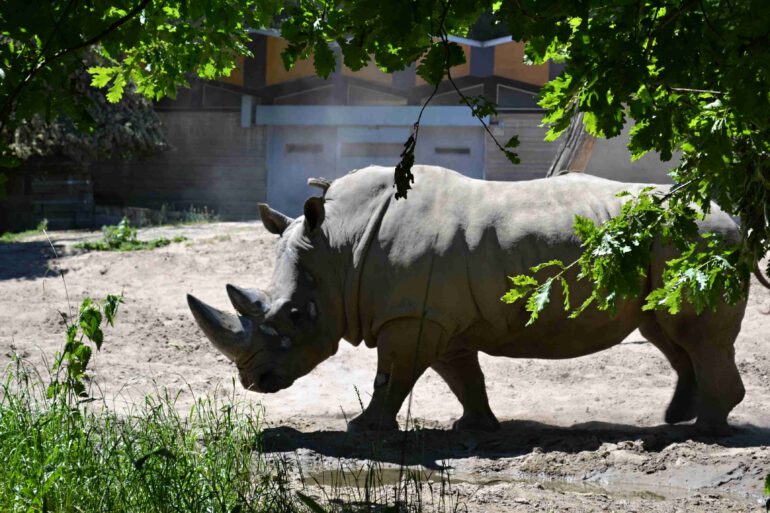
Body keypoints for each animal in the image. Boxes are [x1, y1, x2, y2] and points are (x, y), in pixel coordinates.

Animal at [188, 165, 767, 433]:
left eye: (293, 315)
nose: (254, 382)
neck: (339, 248)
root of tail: (735, 219)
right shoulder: (434, 316)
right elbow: (462, 375)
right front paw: (474, 427)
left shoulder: (411, 317)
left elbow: (390, 376)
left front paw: (363, 428)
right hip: (673, 248)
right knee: (667, 334)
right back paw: (677, 420)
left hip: (697, 242)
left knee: (693, 336)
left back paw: (703, 431)